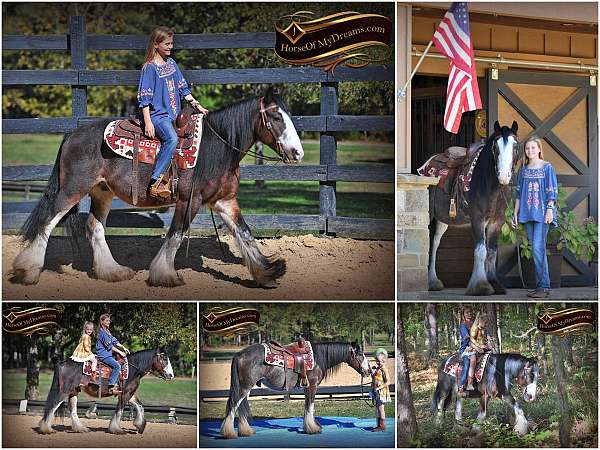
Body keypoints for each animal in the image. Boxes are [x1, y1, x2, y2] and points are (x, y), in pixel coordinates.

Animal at [10, 85, 304, 288]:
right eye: (276, 117)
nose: (297, 153)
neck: (217, 148)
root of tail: (72, 135)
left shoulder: (225, 201)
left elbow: (245, 234)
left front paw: (266, 273)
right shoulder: (189, 200)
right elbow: (176, 234)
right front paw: (165, 275)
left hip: (102, 193)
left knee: (94, 227)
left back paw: (113, 271)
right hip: (73, 189)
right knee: (48, 221)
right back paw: (28, 271)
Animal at [37, 346, 175, 434]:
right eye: (164, 358)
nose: (171, 375)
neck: (133, 369)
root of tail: (62, 363)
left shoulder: (130, 393)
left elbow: (140, 406)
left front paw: (140, 426)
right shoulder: (125, 394)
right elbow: (119, 410)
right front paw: (116, 429)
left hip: (74, 391)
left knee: (73, 410)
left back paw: (80, 428)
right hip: (63, 391)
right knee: (53, 406)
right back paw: (46, 429)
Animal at [220, 342, 370, 438]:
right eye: (361, 354)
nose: (369, 370)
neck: (317, 358)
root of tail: (240, 354)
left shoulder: (306, 388)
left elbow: (306, 407)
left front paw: (308, 427)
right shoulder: (312, 386)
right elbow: (310, 407)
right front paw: (313, 429)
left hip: (246, 387)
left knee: (241, 406)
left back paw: (246, 431)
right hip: (244, 387)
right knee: (233, 405)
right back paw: (229, 433)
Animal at [426, 120, 520, 296]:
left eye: (515, 145)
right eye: (495, 147)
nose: (504, 176)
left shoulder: (497, 221)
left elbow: (491, 251)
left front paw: (495, 284)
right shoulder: (477, 218)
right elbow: (481, 250)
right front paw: (480, 286)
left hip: (442, 219)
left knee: (435, 242)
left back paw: (434, 281)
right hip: (429, 216)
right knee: (429, 244)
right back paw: (430, 281)